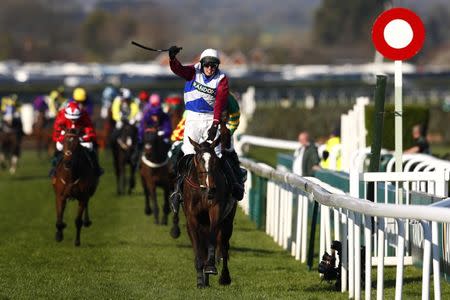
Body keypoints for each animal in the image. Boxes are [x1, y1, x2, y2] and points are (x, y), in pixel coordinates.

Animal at [183, 137, 239, 288]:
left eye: (214, 160)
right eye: (199, 159)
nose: (211, 188)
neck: (202, 192)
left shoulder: (215, 211)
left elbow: (213, 238)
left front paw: (210, 267)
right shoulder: (192, 219)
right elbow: (198, 248)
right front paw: (200, 281)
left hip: (228, 222)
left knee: (224, 247)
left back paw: (224, 277)